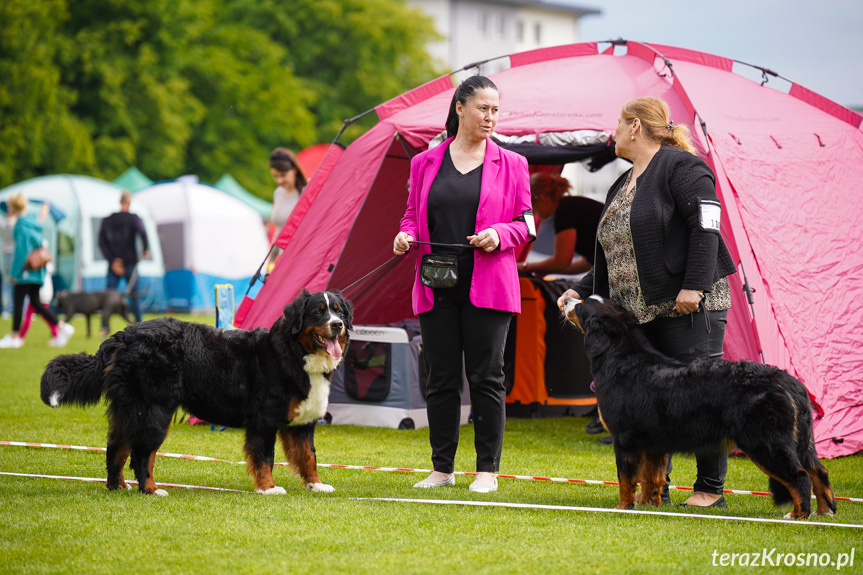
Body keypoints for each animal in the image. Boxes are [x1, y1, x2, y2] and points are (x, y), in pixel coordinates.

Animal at [40, 290, 352, 498]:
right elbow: (265, 458)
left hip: (129, 409)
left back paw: (118, 486)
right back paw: (151, 490)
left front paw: (316, 484)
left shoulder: (303, 424)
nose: (337, 324)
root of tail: (124, 335)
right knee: (143, 454)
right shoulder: (263, 422)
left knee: (116, 447)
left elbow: (308, 456)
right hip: (155, 409)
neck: (295, 352)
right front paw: (268, 488)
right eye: (318, 311)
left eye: (338, 311)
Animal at [564, 294, 832, 520]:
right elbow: (652, 479)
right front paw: (649, 505)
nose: (566, 299)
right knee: (818, 472)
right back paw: (823, 513)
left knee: (800, 476)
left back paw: (799, 516)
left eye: (581, 305)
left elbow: (626, 479)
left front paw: (623, 507)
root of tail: (788, 381)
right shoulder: (654, 443)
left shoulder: (625, 439)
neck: (620, 357)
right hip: (801, 441)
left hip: (765, 442)